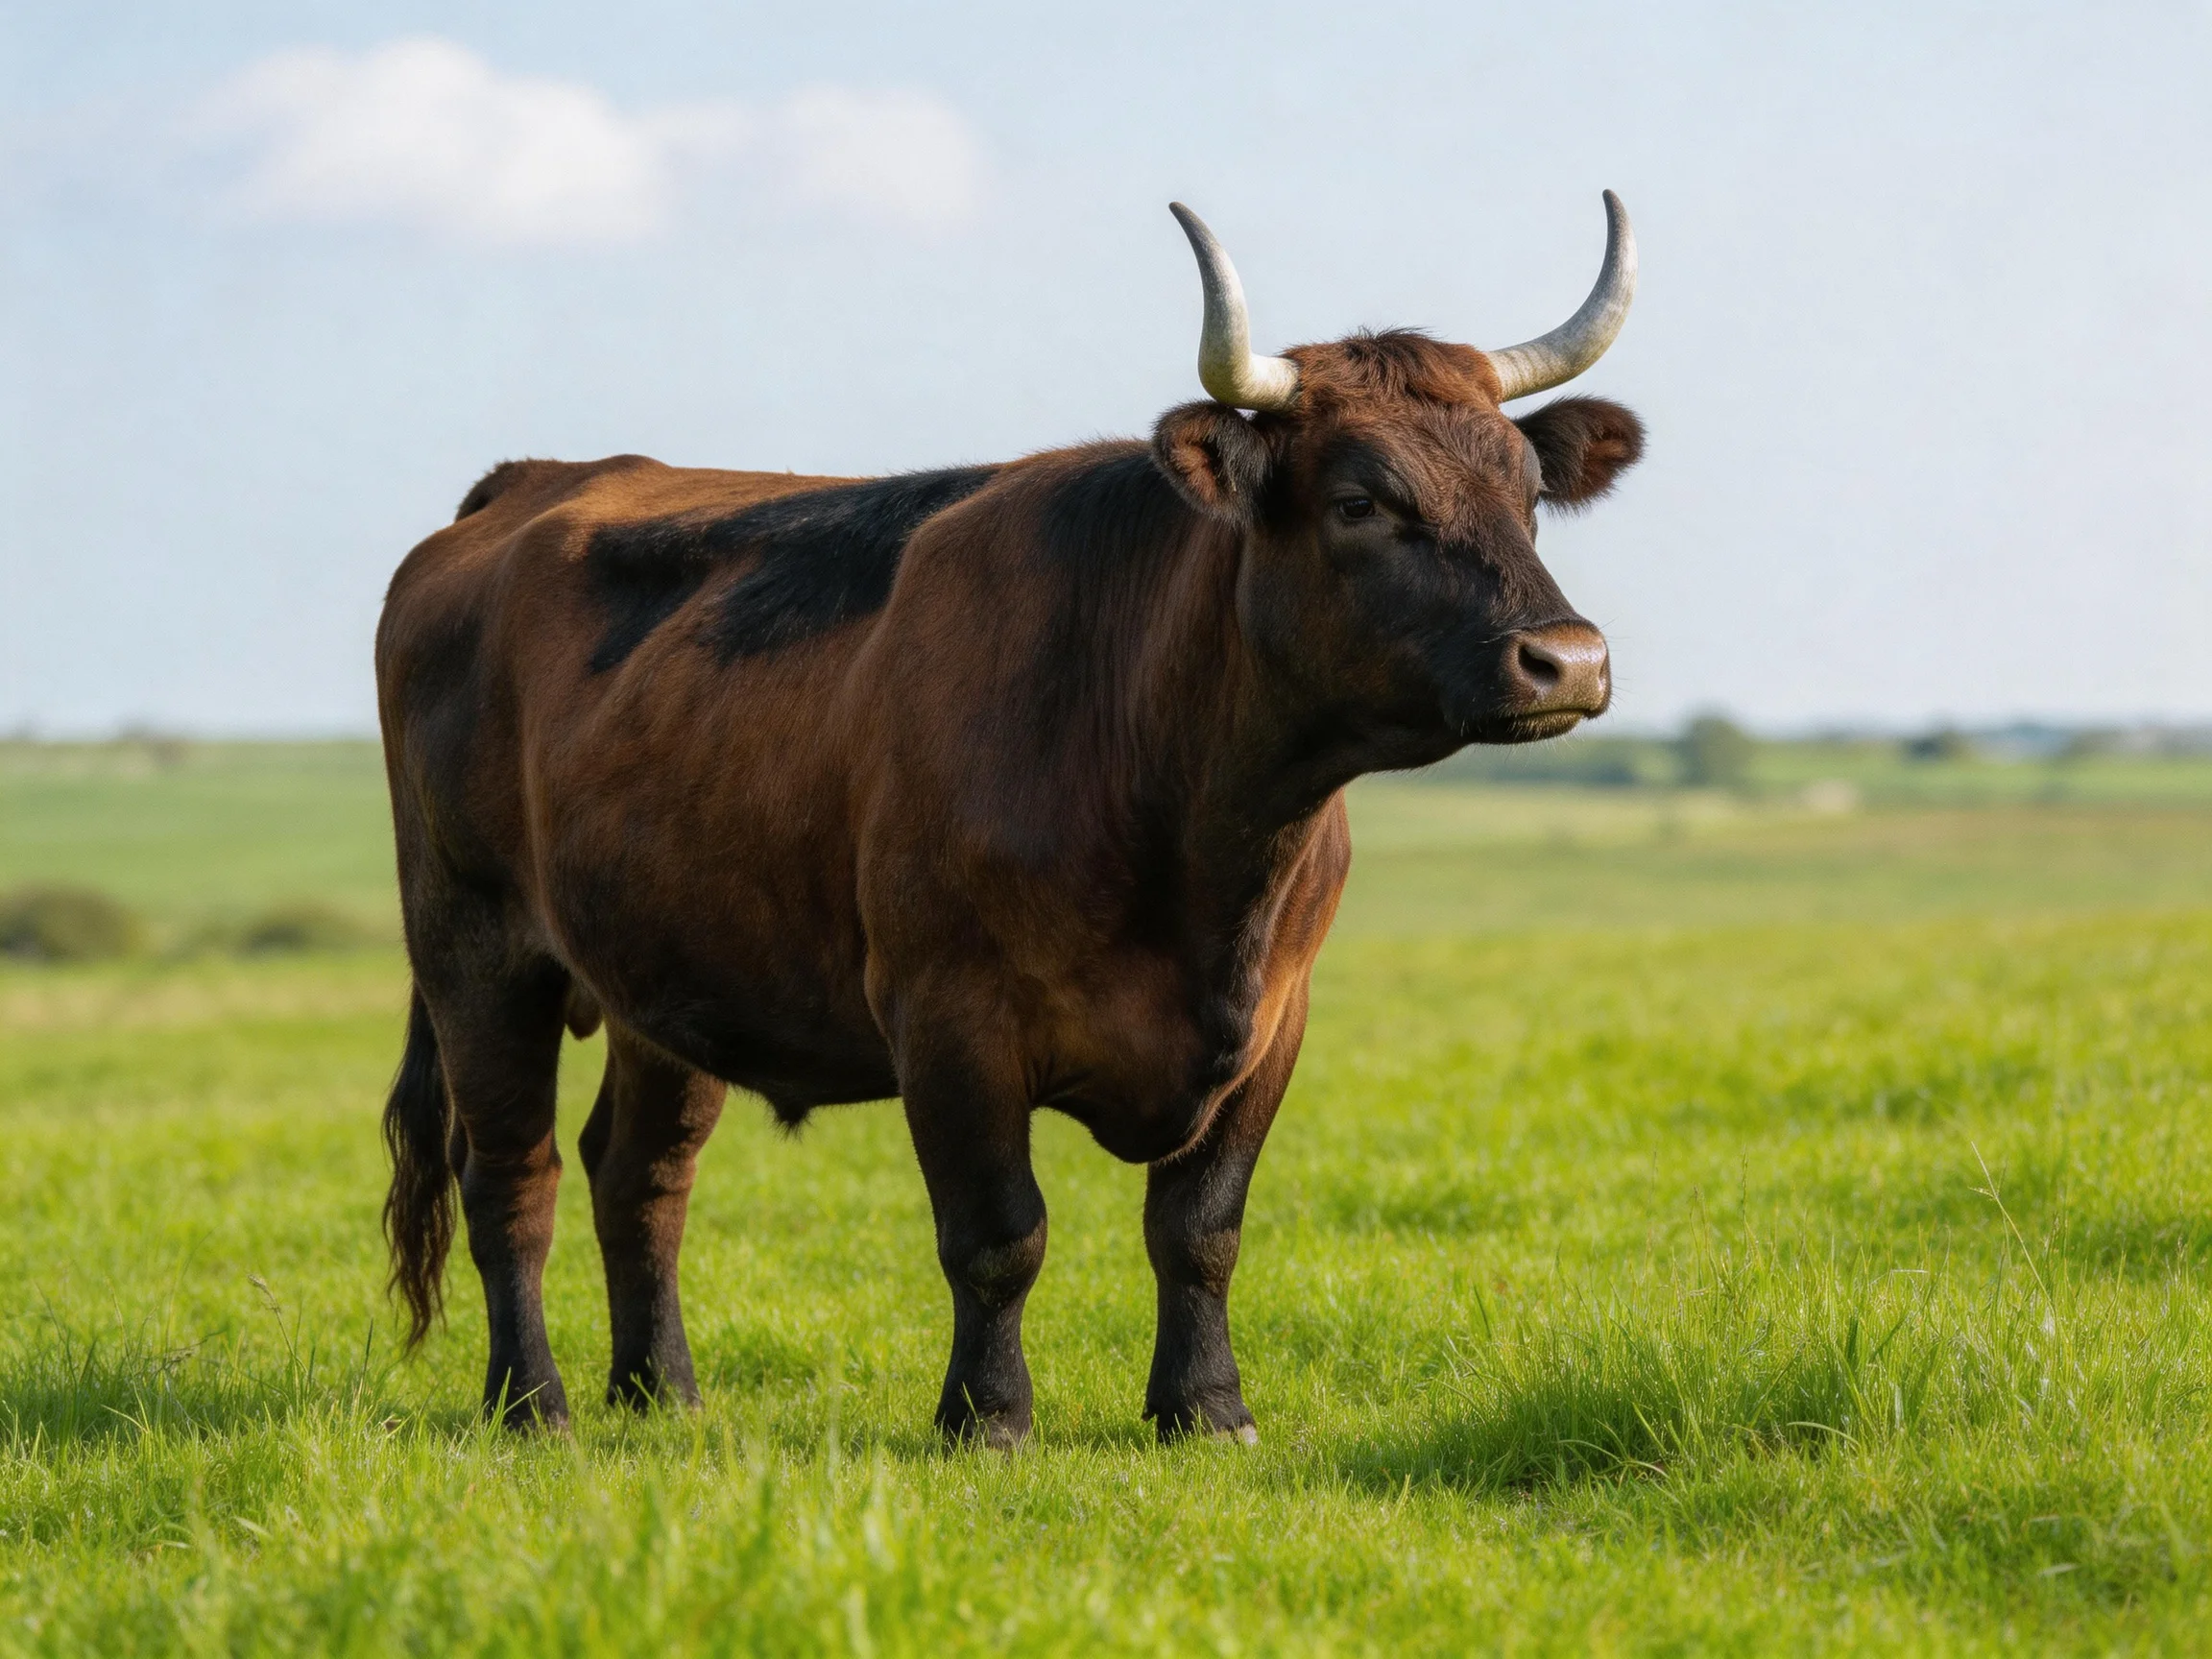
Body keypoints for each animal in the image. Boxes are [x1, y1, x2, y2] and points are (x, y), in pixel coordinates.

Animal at [376, 194, 1646, 1447]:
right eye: (1359, 501)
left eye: (1529, 495)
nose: (1568, 659)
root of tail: (540, 480)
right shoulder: (949, 1013)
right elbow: (998, 1235)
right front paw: (987, 1419)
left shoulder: (1276, 1023)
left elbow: (1201, 1231)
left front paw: (1205, 1410)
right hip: (474, 948)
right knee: (512, 1177)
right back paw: (531, 1406)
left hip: (664, 971)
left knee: (638, 1174)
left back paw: (662, 1396)